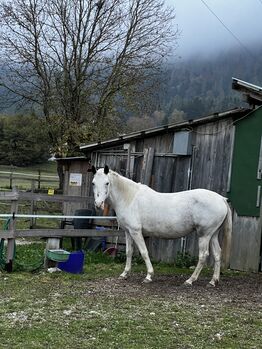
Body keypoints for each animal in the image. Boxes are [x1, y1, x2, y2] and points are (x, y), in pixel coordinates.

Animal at [91, 166, 231, 286]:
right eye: (93, 183)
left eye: (107, 183)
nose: (98, 204)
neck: (130, 198)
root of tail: (221, 199)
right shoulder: (128, 232)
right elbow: (128, 252)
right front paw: (124, 274)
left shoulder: (136, 232)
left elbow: (144, 252)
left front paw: (148, 276)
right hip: (213, 234)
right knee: (217, 254)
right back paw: (213, 281)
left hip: (204, 235)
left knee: (203, 256)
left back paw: (190, 280)